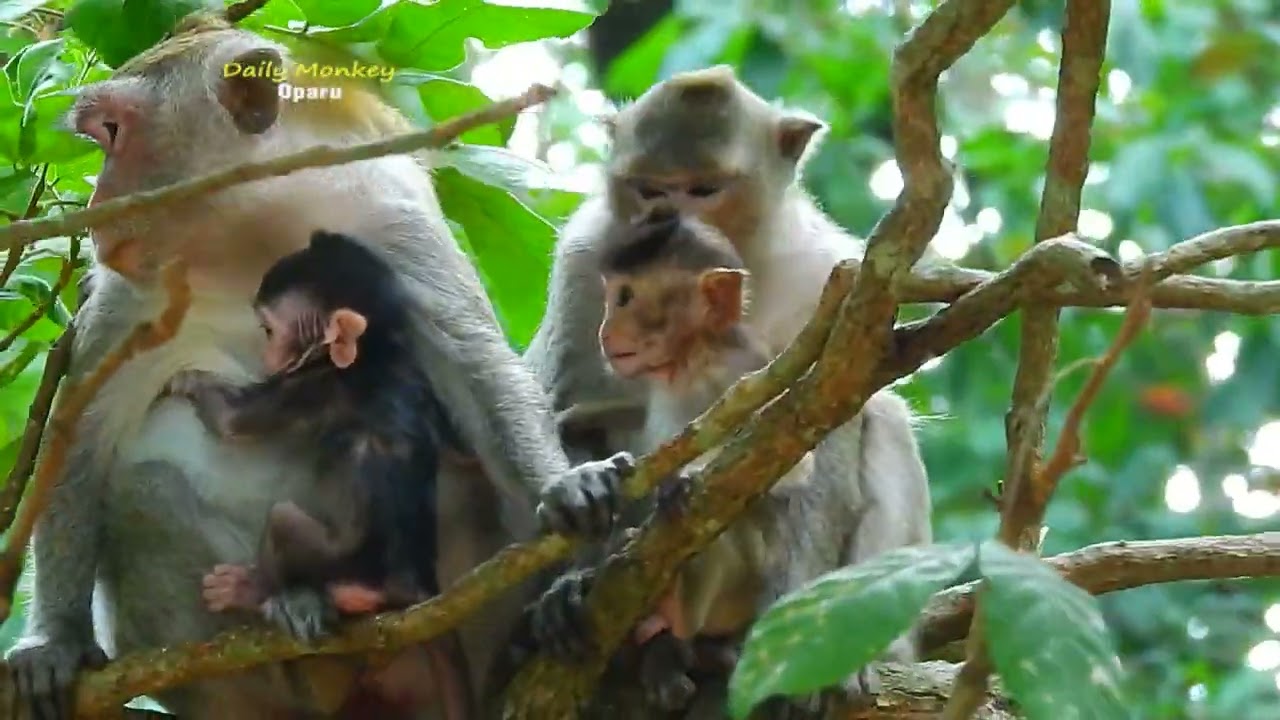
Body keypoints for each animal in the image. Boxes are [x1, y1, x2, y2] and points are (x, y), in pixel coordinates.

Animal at [160, 229, 473, 719]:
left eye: (270, 329)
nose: (266, 352)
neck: (374, 351)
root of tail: (417, 586)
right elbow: (458, 447)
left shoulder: (311, 383)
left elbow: (232, 420)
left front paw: (187, 380)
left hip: (346, 570)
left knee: (283, 520)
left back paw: (254, 589)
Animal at [522, 65, 934, 717]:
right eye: (649, 189)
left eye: (704, 189)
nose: (665, 221)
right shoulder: (586, 261)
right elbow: (566, 403)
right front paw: (578, 508)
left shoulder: (827, 280)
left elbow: (817, 439)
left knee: (884, 421)